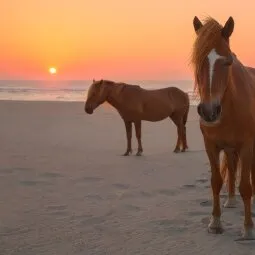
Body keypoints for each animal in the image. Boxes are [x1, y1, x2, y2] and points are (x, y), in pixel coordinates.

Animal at [192, 16, 255, 241]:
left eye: (228, 62)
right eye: (198, 61)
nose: (209, 112)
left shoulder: (247, 146)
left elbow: (246, 186)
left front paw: (248, 228)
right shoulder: (211, 146)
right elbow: (216, 181)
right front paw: (215, 222)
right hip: (229, 149)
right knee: (232, 166)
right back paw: (231, 200)